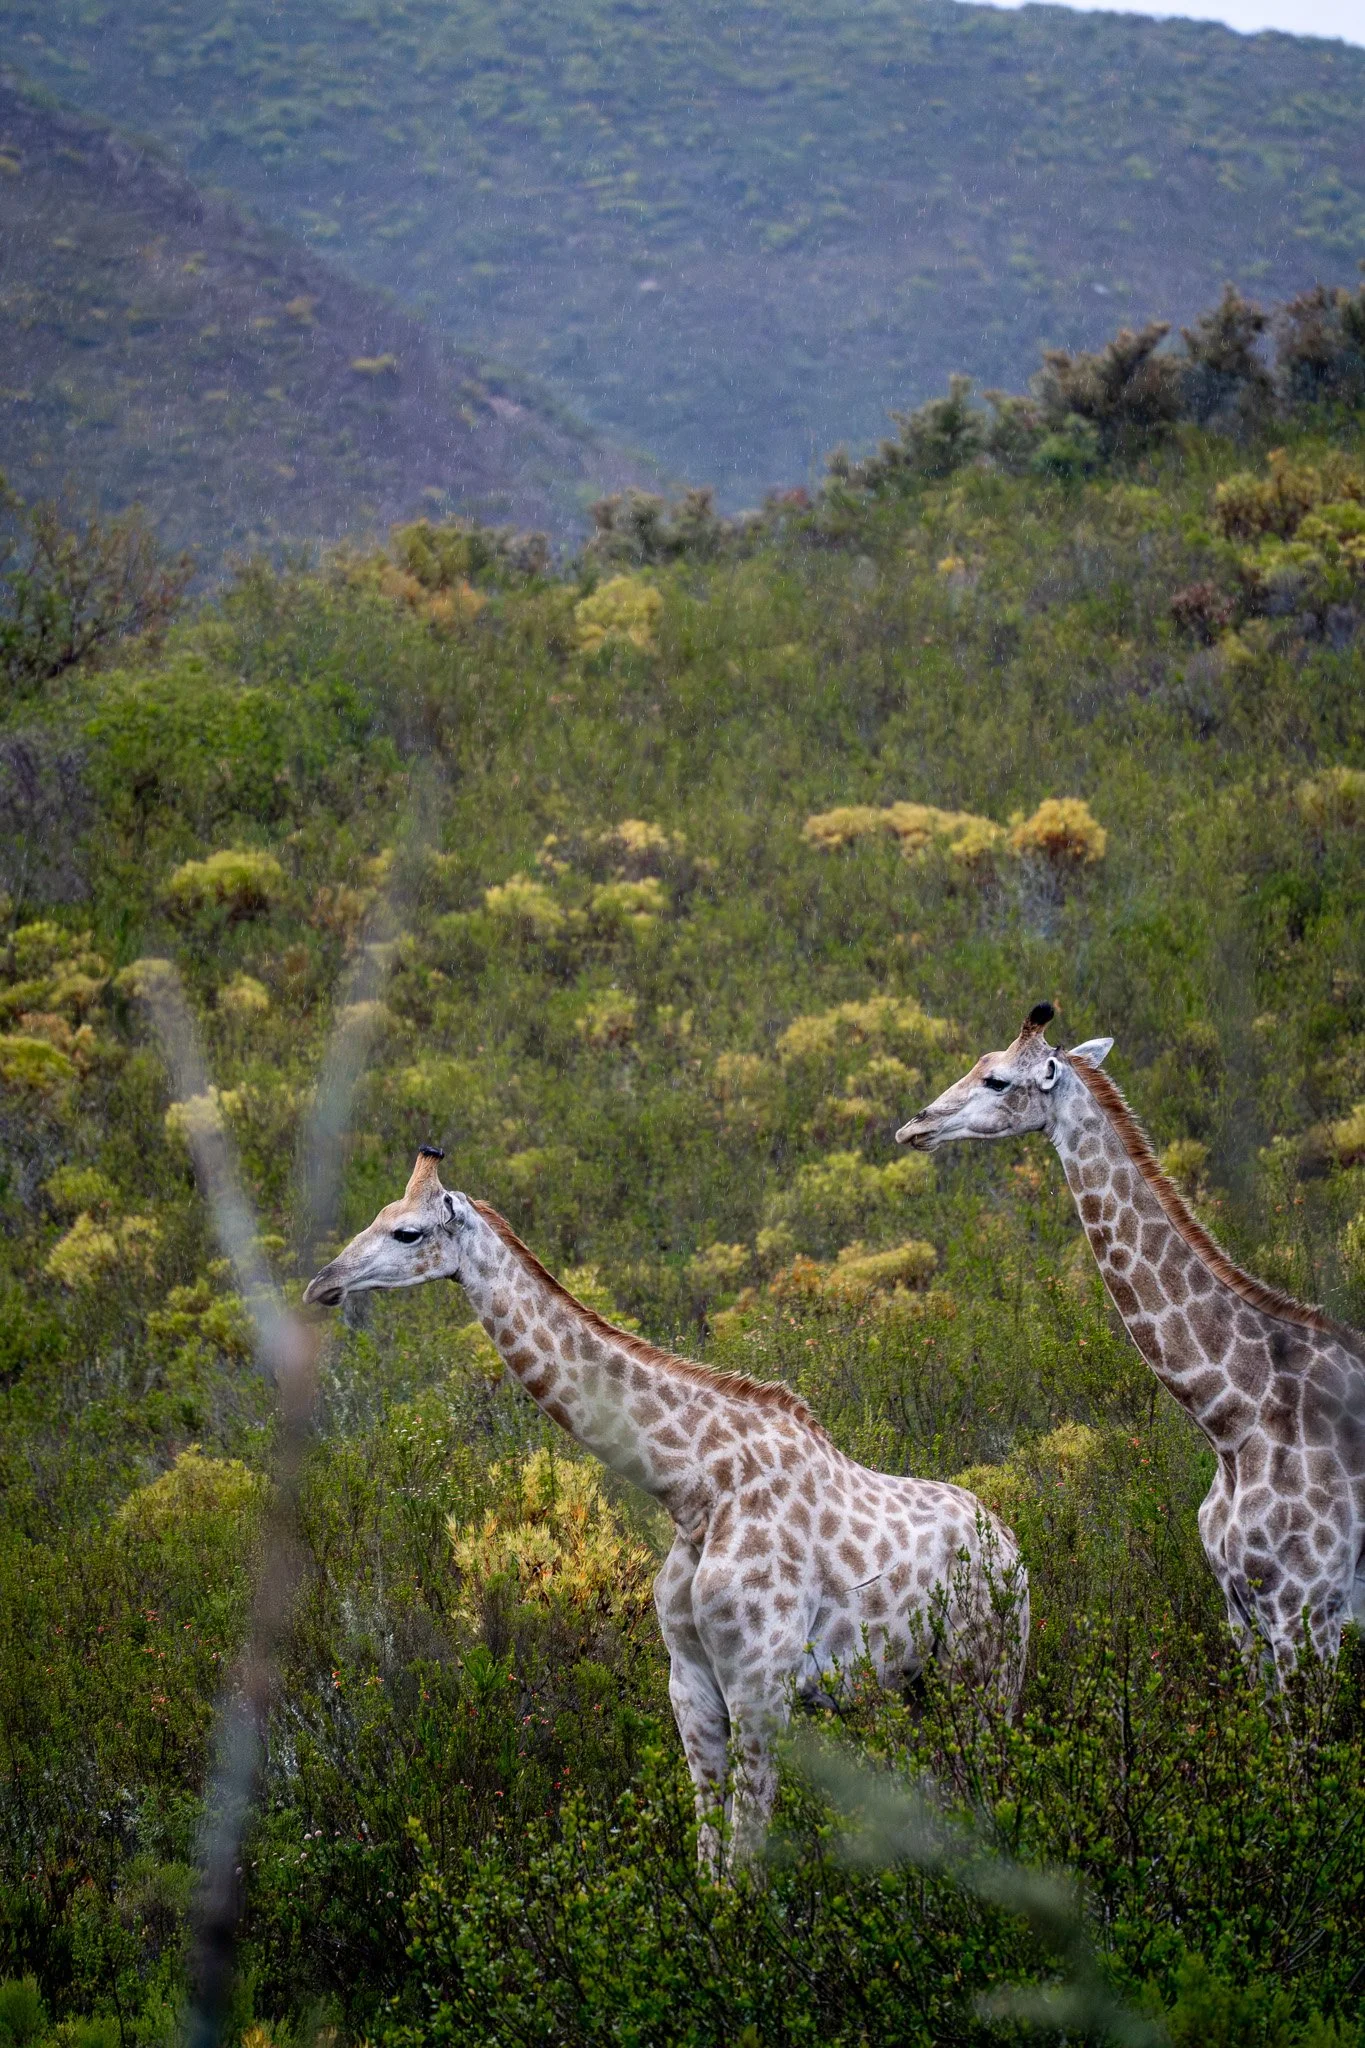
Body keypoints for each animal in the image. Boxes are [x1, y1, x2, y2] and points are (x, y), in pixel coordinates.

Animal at [304, 1147, 1029, 1870]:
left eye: (408, 1232)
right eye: (377, 1215)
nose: (321, 1285)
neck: (695, 1490)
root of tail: (1013, 1548)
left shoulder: (761, 1684)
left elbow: (747, 1861)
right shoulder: (692, 1685)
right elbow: (711, 1862)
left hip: (985, 1673)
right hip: (916, 1686)